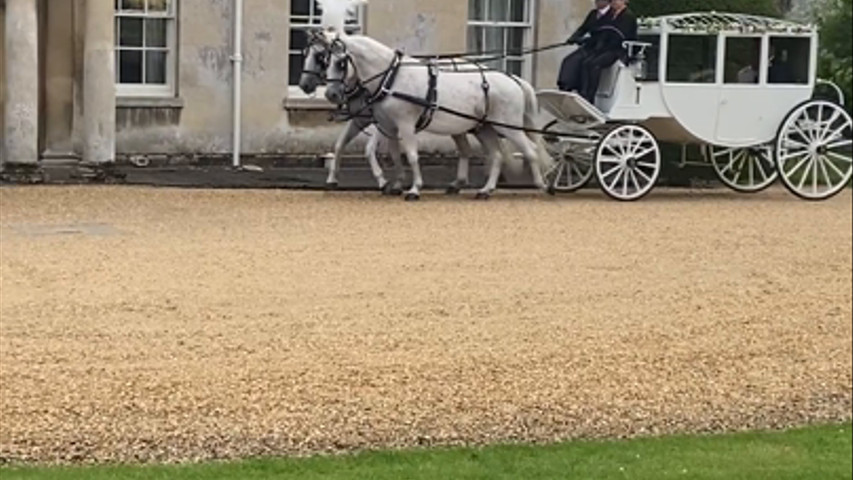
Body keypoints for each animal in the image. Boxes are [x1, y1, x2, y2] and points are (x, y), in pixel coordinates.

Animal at [321, 30, 554, 200]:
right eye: (325, 61)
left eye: (340, 63)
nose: (331, 94)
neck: (392, 78)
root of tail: (514, 79)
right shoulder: (389, 127)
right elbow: (395, 155)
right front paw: (396, 185)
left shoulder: (405, 125)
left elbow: (412, 155)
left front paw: (414, 189)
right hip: (484, 127)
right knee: (497, 156)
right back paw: (485, 190)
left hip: (507, 126)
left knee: (531, 150)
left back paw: (542, 184)